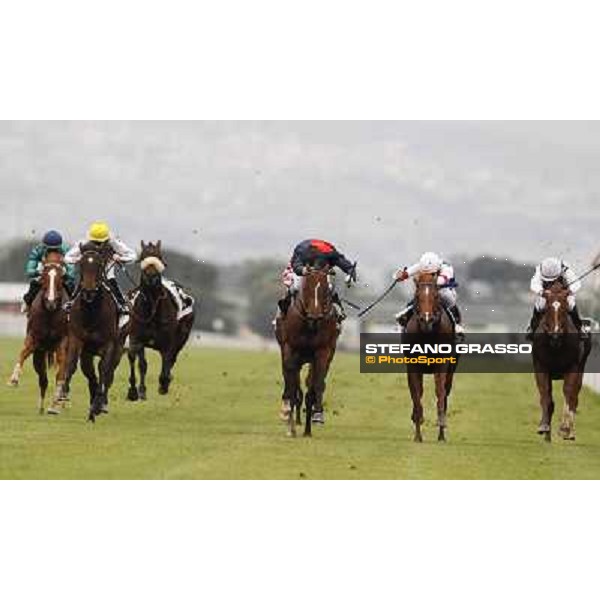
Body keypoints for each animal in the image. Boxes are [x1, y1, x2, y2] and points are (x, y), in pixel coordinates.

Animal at [7, 251, 69, 414]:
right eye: (44, 277)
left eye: (59, 278)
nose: (51, 302)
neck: (50, 313)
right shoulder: (34, 338)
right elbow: (23, 353)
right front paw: (14, 379)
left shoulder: (62, 341)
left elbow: (61, 369)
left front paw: (56, 401)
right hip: (39, 355)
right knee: (43, 379)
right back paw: (41, 406)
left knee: (60, 372)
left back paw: (56, 404)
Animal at [126, 240, 195, 404]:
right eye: (142, 257)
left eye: (159, 257)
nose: (151, 277)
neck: (152, 309)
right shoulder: (138, 339)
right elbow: (142, 364)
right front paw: (140, 391)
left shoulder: (168, 343)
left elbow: (166, 362)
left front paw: (163, 384)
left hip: (182, 337)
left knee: (172, 358)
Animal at [274, 266, 340, 436]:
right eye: (307, 288)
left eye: (325, 290)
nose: (315, 315)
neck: (310, 325)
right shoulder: (290, 350)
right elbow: (291, 386)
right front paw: (290, 424)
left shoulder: (322, 353)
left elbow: (315, 386)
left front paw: (309, 429)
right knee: (290, 381)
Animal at [406, 270, 458, 440]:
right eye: (417, 295)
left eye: (435, 295)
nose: (427, 319)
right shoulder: (413, 365)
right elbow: (416, 393)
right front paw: (418, 432)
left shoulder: (442, 364)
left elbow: (440, 391)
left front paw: (441, 428)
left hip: (452, 369)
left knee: (446, 390)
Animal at [536, 280, 592, 440]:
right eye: (548, 308)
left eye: (564, 308)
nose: (555, 333)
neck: (556, 345)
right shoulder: (541, 366)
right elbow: (545, 392)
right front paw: (544, 426)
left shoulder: (573, 367)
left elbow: (568, 391)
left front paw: (565, 428)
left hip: (581, 367)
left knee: (574, 395)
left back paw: (570, 431)